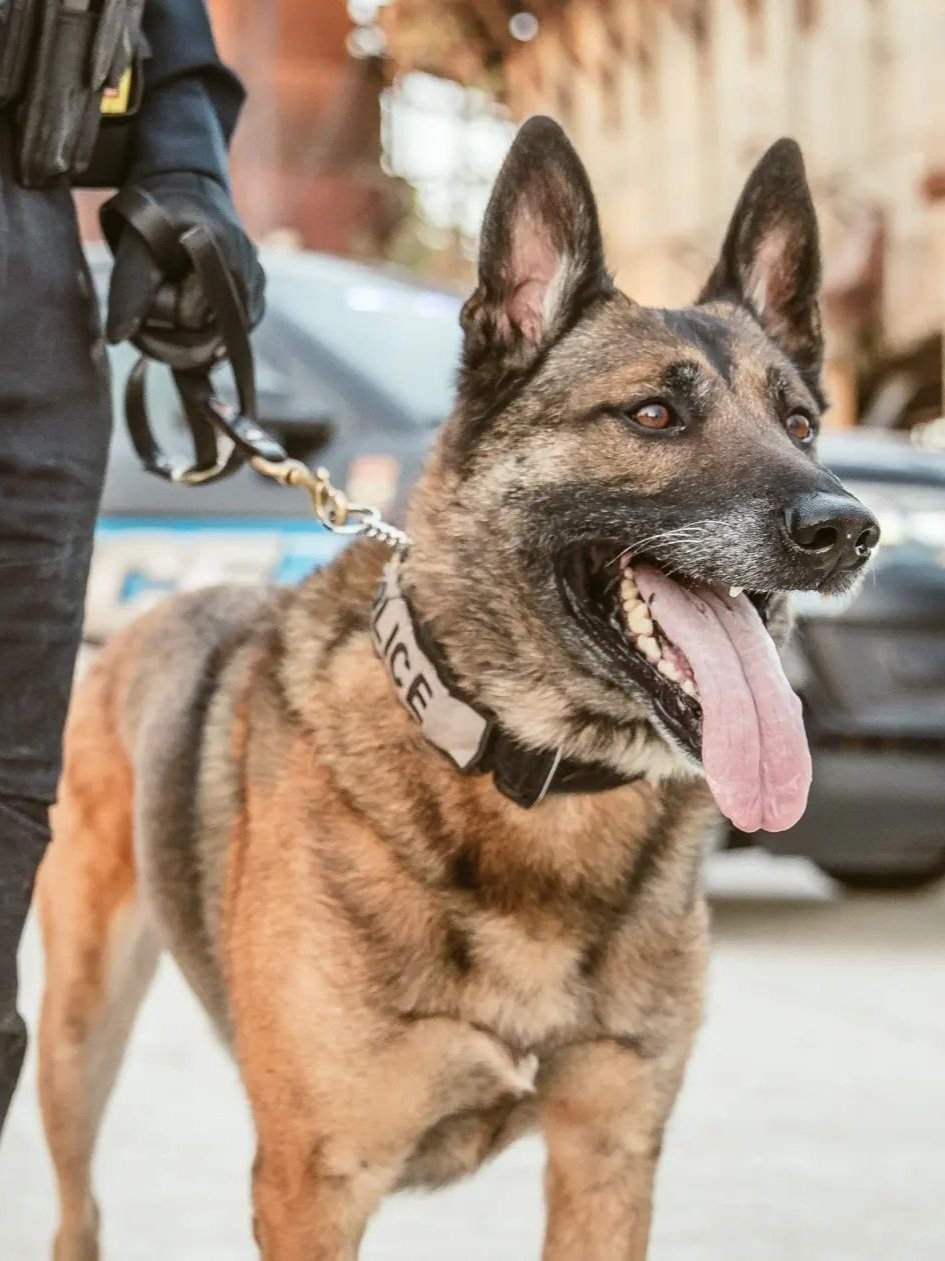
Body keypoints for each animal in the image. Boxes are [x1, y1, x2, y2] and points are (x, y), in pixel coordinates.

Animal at [36, 118, 878, 1261]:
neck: (535, 776)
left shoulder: (606, 1157)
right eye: (654, 413)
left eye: (798, 423)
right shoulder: (314, 1185)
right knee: (77, 1208)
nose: (851, 530)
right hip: (77, 1038)